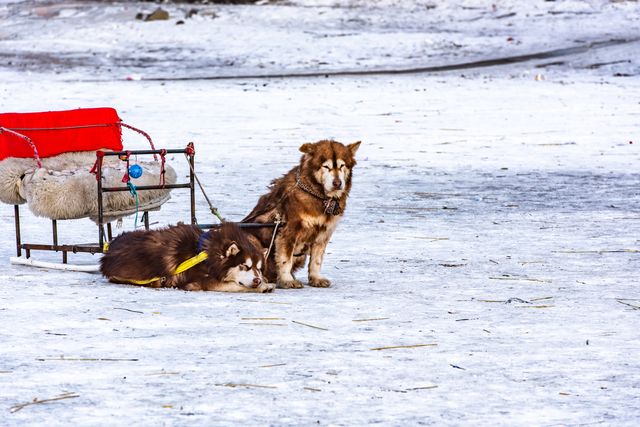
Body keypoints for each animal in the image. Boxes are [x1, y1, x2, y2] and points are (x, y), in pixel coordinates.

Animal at [99, 222, 274, 292]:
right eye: (244, 266)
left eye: (259, 269)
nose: (257, 280)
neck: (208, 254)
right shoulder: (198, 281)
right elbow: (235, 285)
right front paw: (264, 286)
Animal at [242, 139, 360, 290]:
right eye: (326, 166)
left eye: (342, 166)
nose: (337, 183)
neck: (319, 196)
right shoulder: (288, 231)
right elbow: (285, 259)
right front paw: (287, 280)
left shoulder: (323, 234)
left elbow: (316, 261)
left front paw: (316, 278)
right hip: (251, 238)